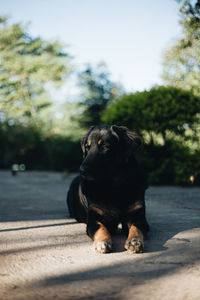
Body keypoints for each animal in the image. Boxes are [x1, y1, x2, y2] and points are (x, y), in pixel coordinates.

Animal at [67, 125, 148, 254]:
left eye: (105, 147)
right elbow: (101, 228)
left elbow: (136, 227)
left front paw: (134, 241)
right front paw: (103, 242)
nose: (82, 170)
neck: (113, 187)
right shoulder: (94, 219)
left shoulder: (138, 215)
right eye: (87, 147)